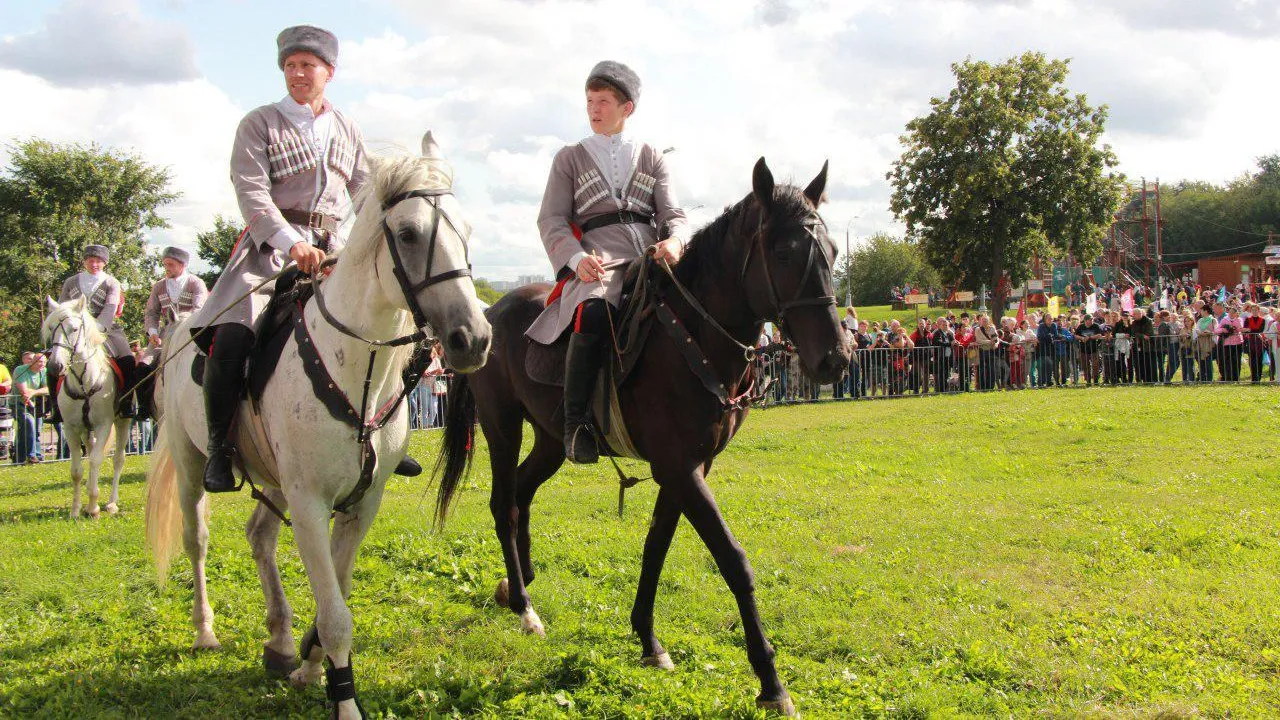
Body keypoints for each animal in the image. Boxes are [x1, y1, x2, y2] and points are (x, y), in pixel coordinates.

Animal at [43, 294, 131, 517]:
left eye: (74, 329)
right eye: (51, 328)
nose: (55, 365)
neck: (84, 382)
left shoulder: (103, 425)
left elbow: (96, 460)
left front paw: (93, 506)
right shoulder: (71, 428)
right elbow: (77, 470)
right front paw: (76, 510)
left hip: (123, 421)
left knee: (118, 459)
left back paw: (111, 502)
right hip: (86, 430)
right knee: (91, 451)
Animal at [145, 133, 488, 717]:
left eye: (466, 229)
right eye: (408, 233)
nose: (474, 338)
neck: (356, 365)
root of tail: (180, 329)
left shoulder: (361, 503)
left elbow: (337, 593)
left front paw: (308, 662)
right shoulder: (309, 502)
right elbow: (337, 617)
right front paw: (342, 697)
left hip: (275, 481)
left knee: (258, 537)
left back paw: (280, 640)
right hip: (192, 465)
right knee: (197, 540)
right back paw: (205, 630)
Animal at [435, 156, 844, 712]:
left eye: (833, 251)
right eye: (783, 252)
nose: (836, 358)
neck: (692, 335)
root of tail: (486, 316)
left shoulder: (689, 467)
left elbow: (656, 547)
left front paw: (649, 641)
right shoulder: (680, 467)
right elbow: (733, 560)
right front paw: (770, 682)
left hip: (551, 441)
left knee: (521, 492)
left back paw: (519, 581)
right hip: (502, 426)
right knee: (505, 503)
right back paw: (523, 607)